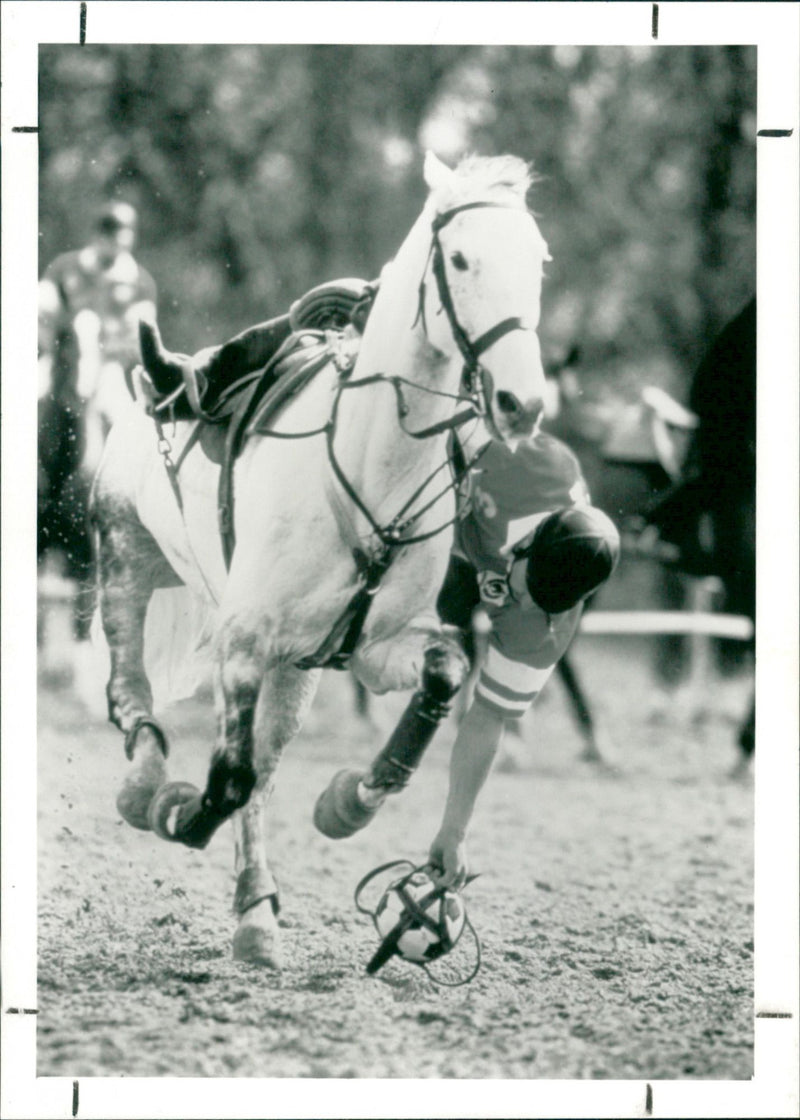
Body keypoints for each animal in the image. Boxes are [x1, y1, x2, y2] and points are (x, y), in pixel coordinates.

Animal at [87, 153, 549, 967]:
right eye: (462, 259)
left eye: (540, 262)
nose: (523, 402)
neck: (371, 468)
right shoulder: (242, 642)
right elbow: (229, 778)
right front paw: (179, 811)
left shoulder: (368, 648)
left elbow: (444, 671)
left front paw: (349, 801)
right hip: (127, 555)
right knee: (129, 692)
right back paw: (145, 788)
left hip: (295, 669)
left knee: (266, 769)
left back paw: (255, 912)